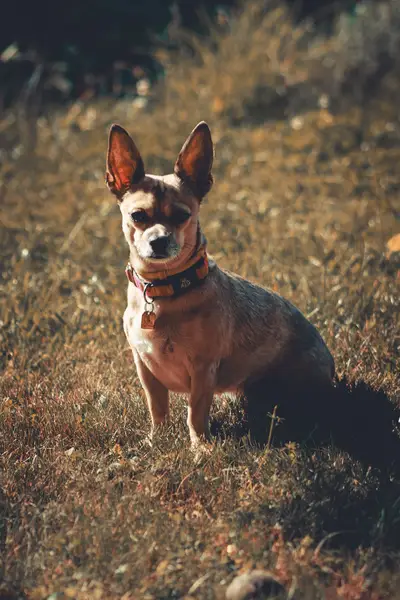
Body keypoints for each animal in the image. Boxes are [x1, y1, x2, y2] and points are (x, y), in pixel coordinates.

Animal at [105, 122, 334, 448]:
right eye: (137, 216)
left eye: (182, 216)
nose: (158, 240)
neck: (163, 289)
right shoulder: (146, 367)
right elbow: (157, 406)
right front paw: (156, 439)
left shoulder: (203, 369)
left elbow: (195, 413)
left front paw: (200, 447)